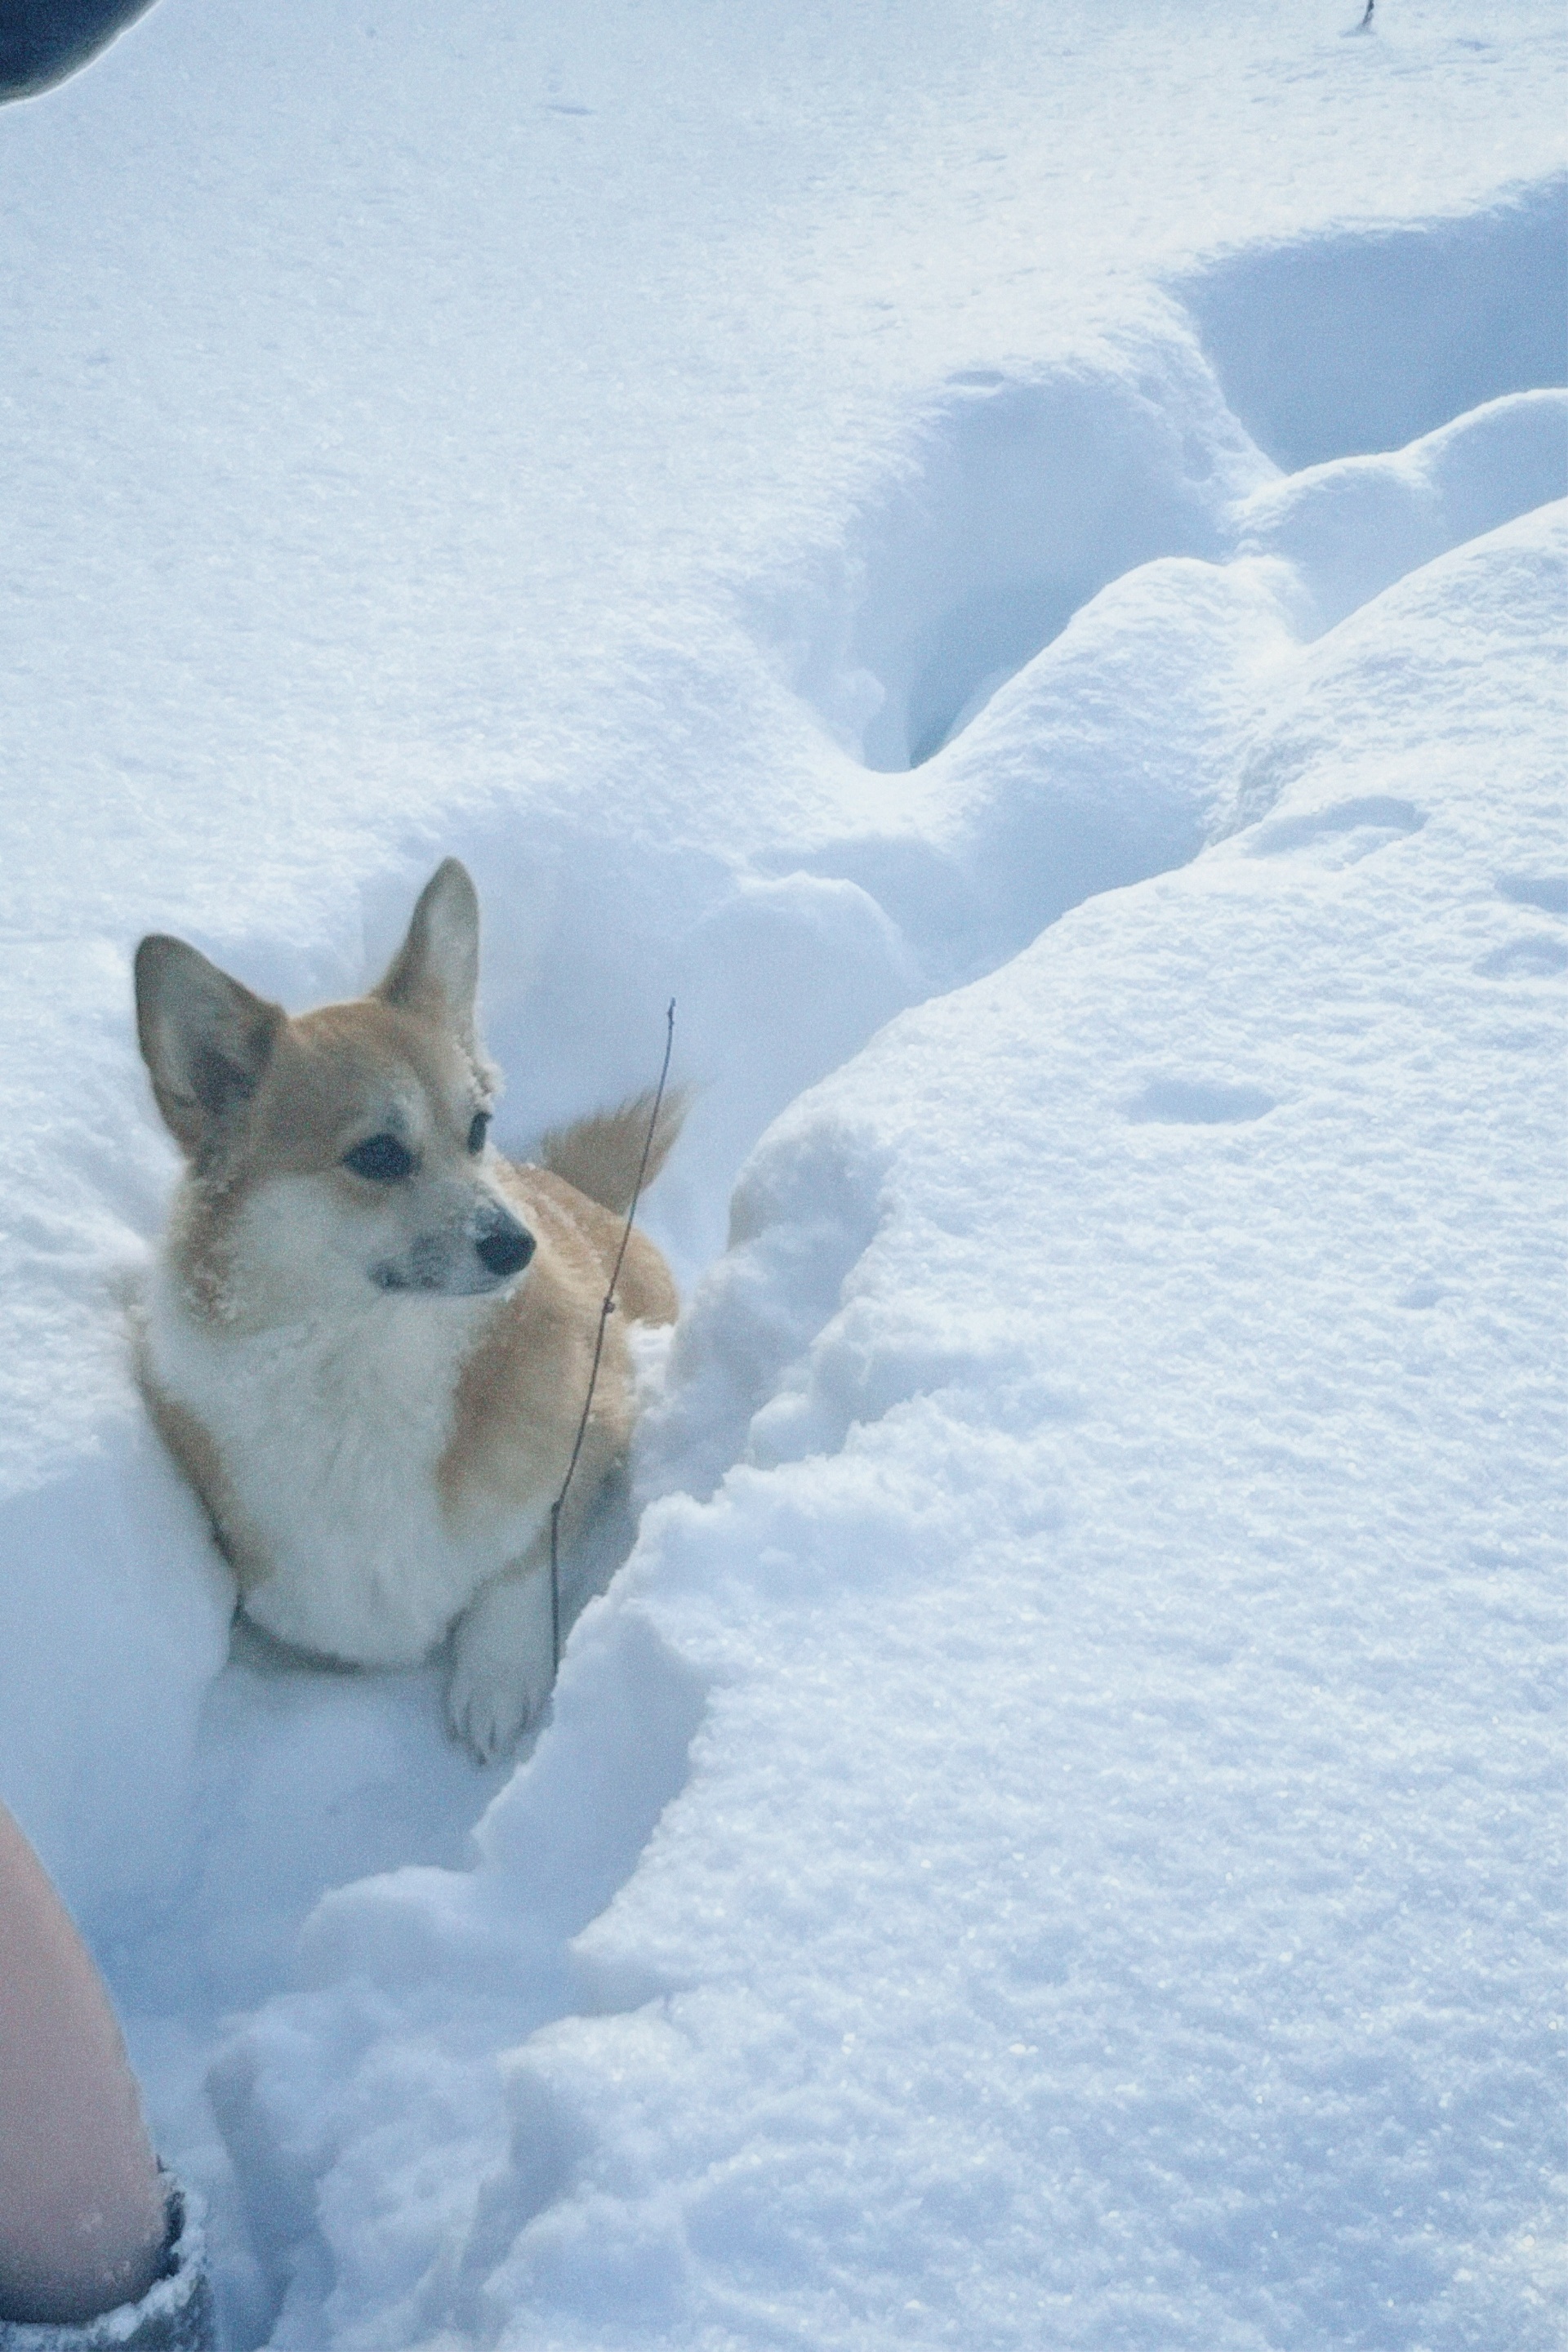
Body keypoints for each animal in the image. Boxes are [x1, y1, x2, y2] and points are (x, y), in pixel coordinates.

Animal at [139, 856, 686, 1759]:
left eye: (479, 1128)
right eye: (378, 1155)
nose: (518, 1246)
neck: (366, 1359)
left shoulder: (592, 1430)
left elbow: (520, 1566)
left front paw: (495, 1685)